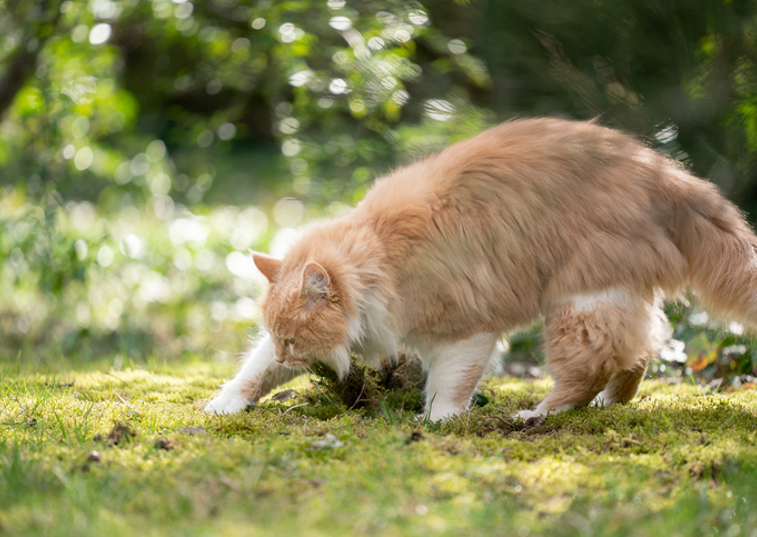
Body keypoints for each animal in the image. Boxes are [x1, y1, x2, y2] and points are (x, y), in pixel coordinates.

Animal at [204, 116, 756, 418]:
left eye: (292, 339)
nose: (285, 350)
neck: (379, 256)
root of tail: (660, 169)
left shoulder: (467, 329)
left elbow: (450, 384)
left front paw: (440, 420)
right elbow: (254, 373)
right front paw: (225, 404)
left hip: (578, 304)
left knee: (590, 370)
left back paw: (539, 413)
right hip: (613, 298)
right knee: (642, 350)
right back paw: (608, 404)